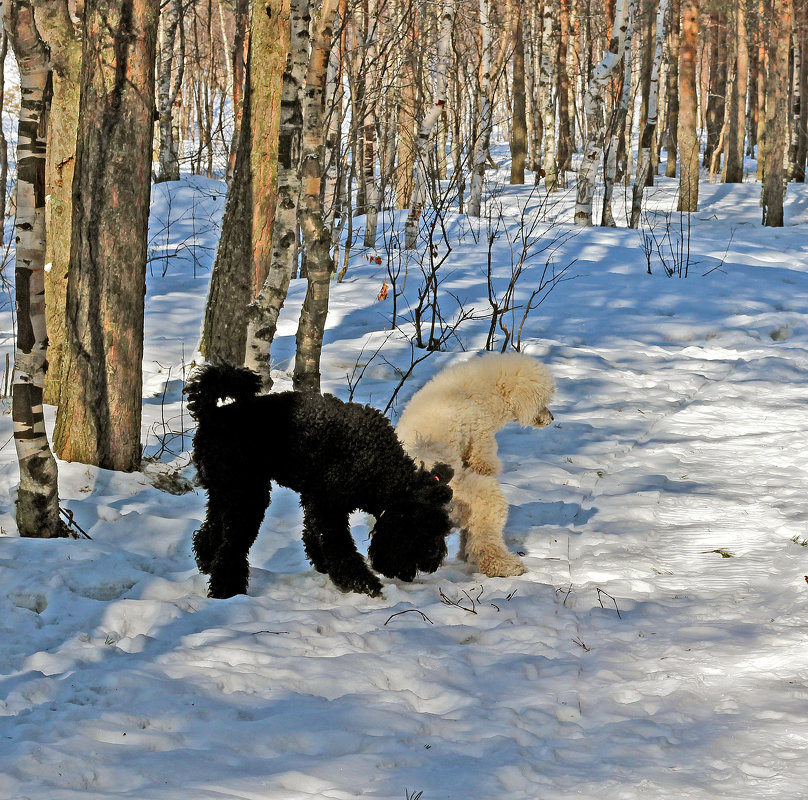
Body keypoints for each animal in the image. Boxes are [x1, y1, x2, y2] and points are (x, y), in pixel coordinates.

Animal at [187, 366, 458, 596]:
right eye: (423, 532)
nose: (431, 564)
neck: (378, 467)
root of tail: (212, 414)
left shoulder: (315, 498)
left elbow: (312, 533)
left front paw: (324, 565)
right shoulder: (329, 506)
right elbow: (340, 547)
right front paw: (363, 584)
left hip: (223, 490)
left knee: (210, 532)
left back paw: (207, 563)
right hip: (246, 494)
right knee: (232, 545)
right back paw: (227, 589)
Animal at [396, 354, 556, 580]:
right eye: (542, 401)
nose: (551, 418)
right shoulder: (480, 438)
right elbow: (485, 466)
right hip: (475, 496)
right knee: (486, 535)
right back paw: (505, 566)